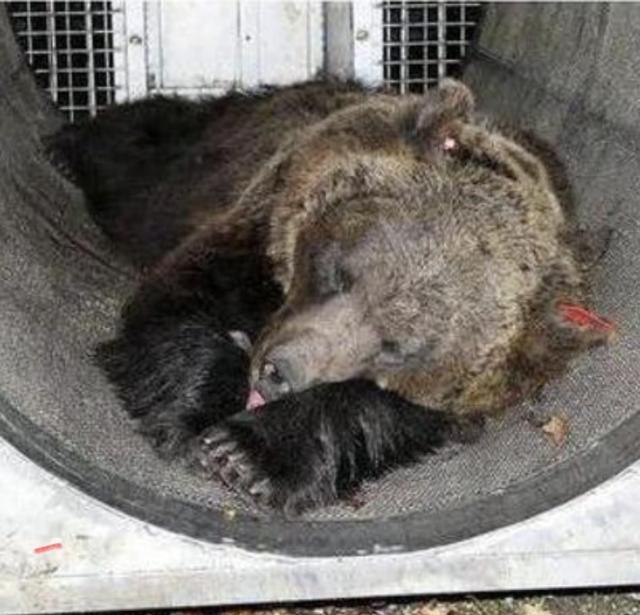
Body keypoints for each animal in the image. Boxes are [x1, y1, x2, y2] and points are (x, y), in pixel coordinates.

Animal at [51, 79, 614, 515]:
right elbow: (179, 304)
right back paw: (68, 144)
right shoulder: (252, 229)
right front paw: (197, 420)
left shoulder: (496, 373)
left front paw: (246, 454)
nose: (279, 373)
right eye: (340, 273)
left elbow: (384, 411)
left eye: (394, 346)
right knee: (142, 148)